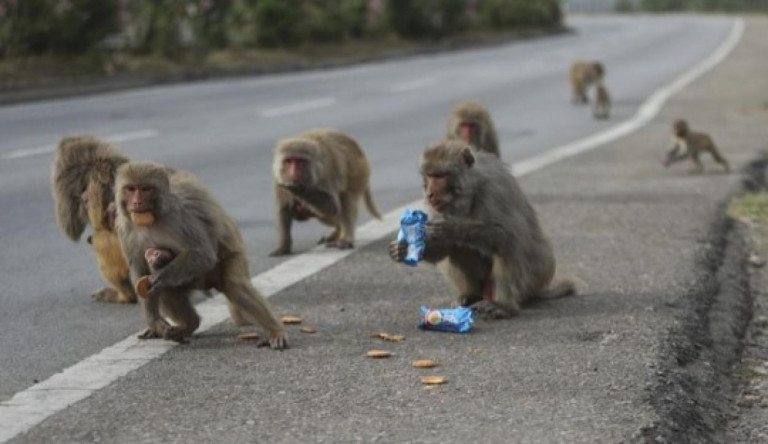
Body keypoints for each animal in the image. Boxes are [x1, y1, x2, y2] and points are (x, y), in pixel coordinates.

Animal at [117, 161, 288, 348]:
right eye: (131, 189)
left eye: (146, 189)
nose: (137, 202)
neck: (153, 218)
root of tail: (207, 284)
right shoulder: (126, 229)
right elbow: (141, 272)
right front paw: (155, 321)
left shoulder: (180, 216)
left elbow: (202, 254)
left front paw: (158, 278)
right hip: (189, 279)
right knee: (168, 286)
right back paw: (190, 323)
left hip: (232, 257)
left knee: (234, 285)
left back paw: (275, 330)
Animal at [270, 127, 384, 256]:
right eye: (289, 161)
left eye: (300, 162)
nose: (293, 173)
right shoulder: (278, 178)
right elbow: (284, 209)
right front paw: (283, 246)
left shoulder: (326, 174)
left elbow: (331, 207)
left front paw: (298, 188)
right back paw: (338, 231)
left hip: (360, 172)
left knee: (346, 197)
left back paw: (346, 238)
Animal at [390, 140, 576, 318]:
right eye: (428, 176)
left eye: (439, 176)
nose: (429, 193)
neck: (470, 190)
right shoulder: (435, 206)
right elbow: (443, 247)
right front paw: (405, 247)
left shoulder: (495, 189)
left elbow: (508, 235)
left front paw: (453, 227)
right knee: (458, 248)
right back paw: (471, 295)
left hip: (532, 280)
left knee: (508, 247)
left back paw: (504, 307)